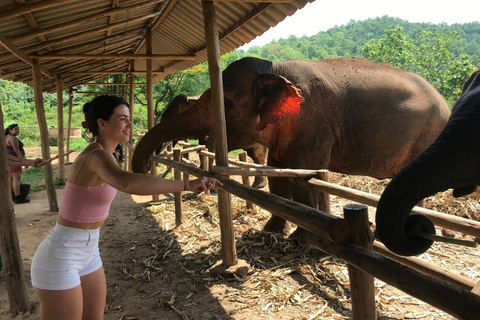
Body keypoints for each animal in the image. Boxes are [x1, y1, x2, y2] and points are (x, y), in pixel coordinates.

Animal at [131, 57, 450, 238]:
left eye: (227, 105)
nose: (144, 167)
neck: (273, 70)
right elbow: (279, 176)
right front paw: (269, 231)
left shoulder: (314, 124)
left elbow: (302, 178)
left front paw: (303, 239)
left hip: (428, 137)